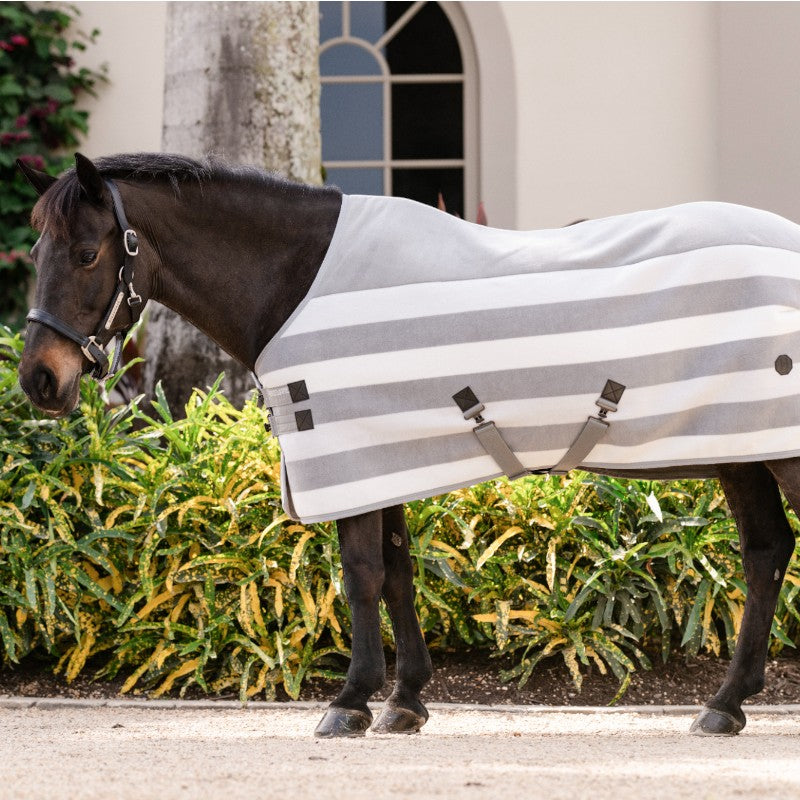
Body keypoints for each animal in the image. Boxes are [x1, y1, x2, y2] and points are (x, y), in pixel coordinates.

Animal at [16, 152, 800, 738]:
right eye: (34, 249)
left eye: (86, 253)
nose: (39, 380)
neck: (297, 281)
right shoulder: (381, 463)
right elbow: (395, 571)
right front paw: (405, 701)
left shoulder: (351, 452)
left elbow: (362, 574)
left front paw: (350, 703)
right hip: (743, 452)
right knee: (767, 553)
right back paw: (725, 706)